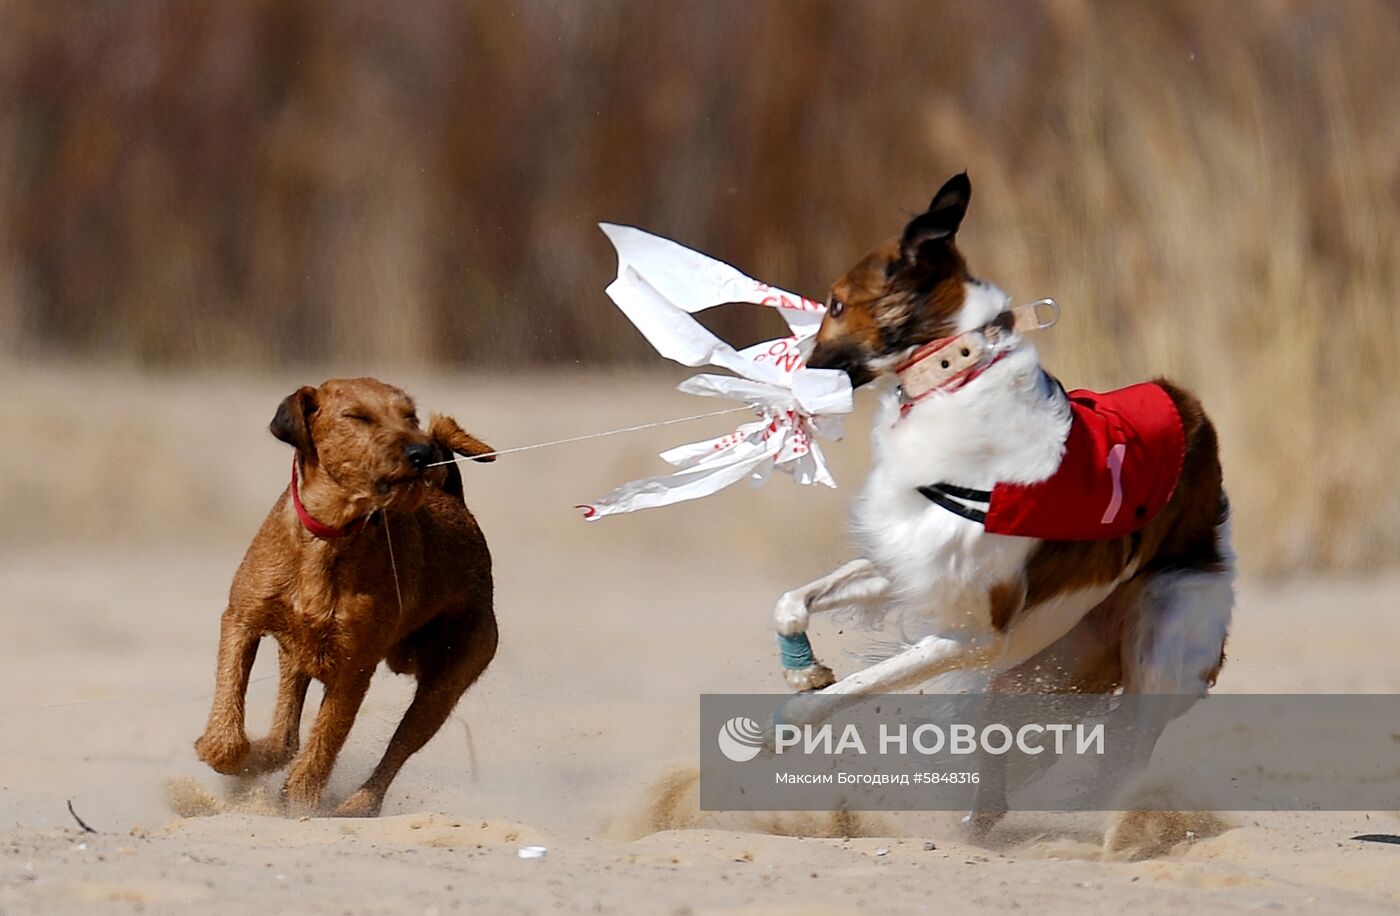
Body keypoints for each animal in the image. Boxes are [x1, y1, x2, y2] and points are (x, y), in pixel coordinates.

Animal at [194, 378, 501, 817]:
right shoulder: (241, 619)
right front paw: (225, 754)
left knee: (396, 750)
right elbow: (229, 709)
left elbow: (325, 743)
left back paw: (356, 805)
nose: (422, 452)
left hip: (445, 683)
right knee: (285, 738)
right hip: (297, 656)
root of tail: (458, 505)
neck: (330, 535)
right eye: (358, 416)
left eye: (410, 416)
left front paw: (299, 806)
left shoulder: (354, 667)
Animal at [772, 172, 1232, 823]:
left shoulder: (976, 636)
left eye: (836, 304)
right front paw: (802, 668)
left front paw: (783, 723)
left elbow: (849, 690)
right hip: (1054, 656)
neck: (954, 376)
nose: (795, 374)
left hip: (1162, 641)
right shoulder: (915, 565)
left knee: (1128, 758)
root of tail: (1191, 413)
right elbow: (794, 601)